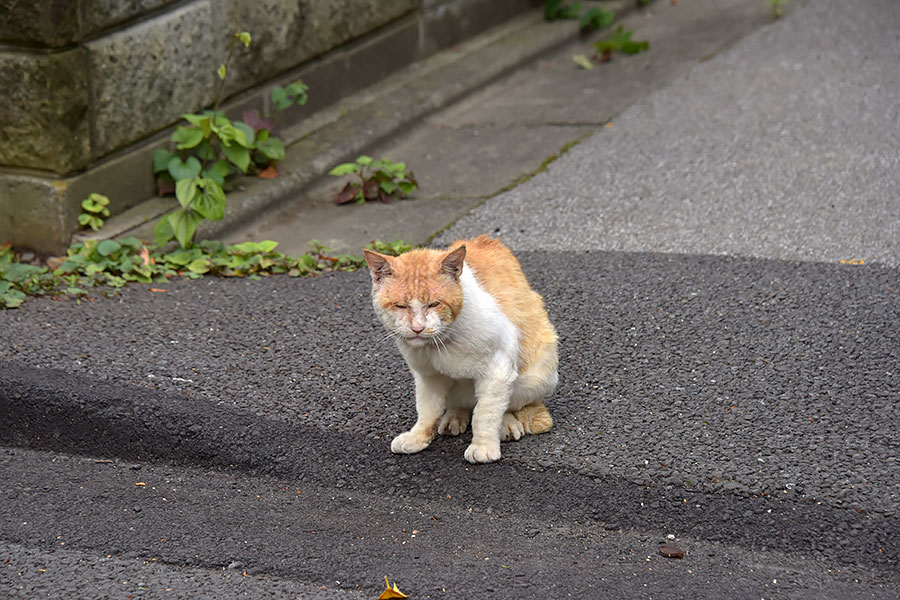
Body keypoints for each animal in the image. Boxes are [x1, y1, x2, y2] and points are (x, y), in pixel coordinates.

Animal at [364, 234, 560, 464]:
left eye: (434, 304)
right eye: (401, 306)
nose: (418, 328)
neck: (439, 344)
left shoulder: (499, 369)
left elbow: (485, 414)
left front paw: (483, 446)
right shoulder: (427, 376)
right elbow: (426, 410)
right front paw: (417, 438)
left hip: (535, 373)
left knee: (510, 404)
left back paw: (506, 425)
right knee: (461, 403)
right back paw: (454, 417)